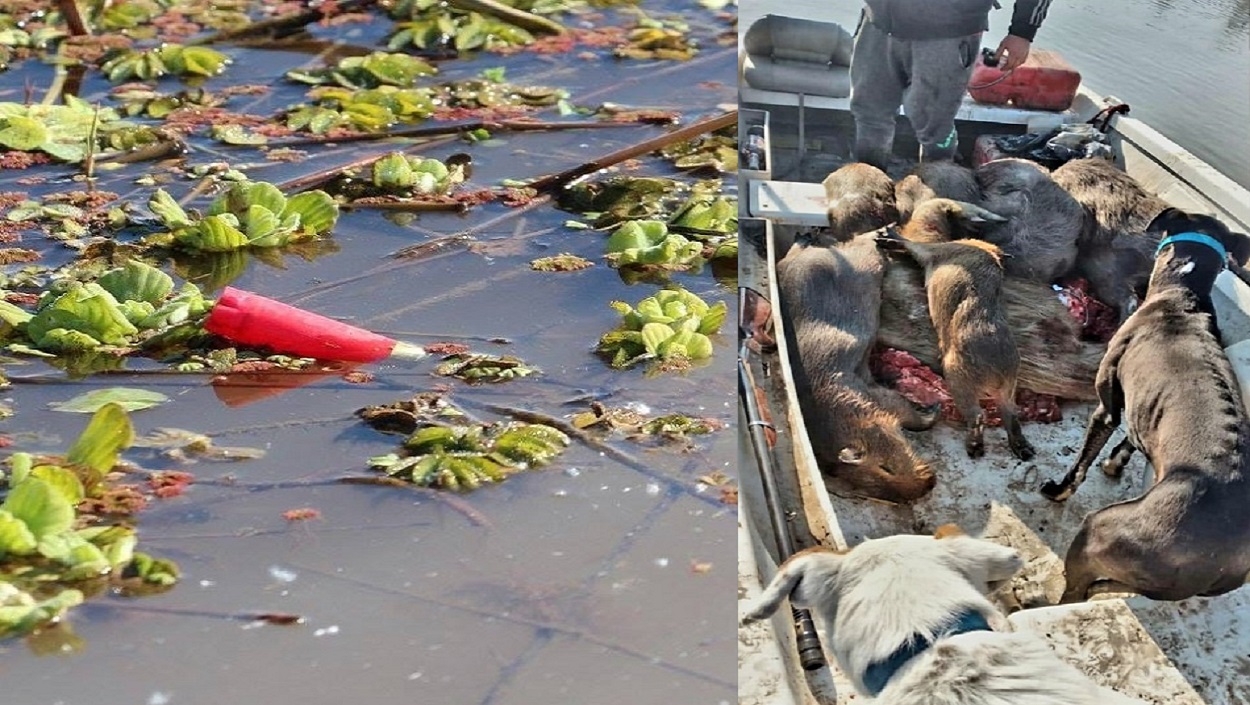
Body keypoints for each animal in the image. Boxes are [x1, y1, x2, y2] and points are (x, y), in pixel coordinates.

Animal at [1040, 207, 1250, 600]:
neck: (1181, 296)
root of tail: (1215, 565)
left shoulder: (1107, 406)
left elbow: (1081, 463)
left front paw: (1059, 490)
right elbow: (1130, 441)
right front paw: (1114, 464)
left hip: (1101, 531)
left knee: (1074, 590)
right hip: (1140, 580)